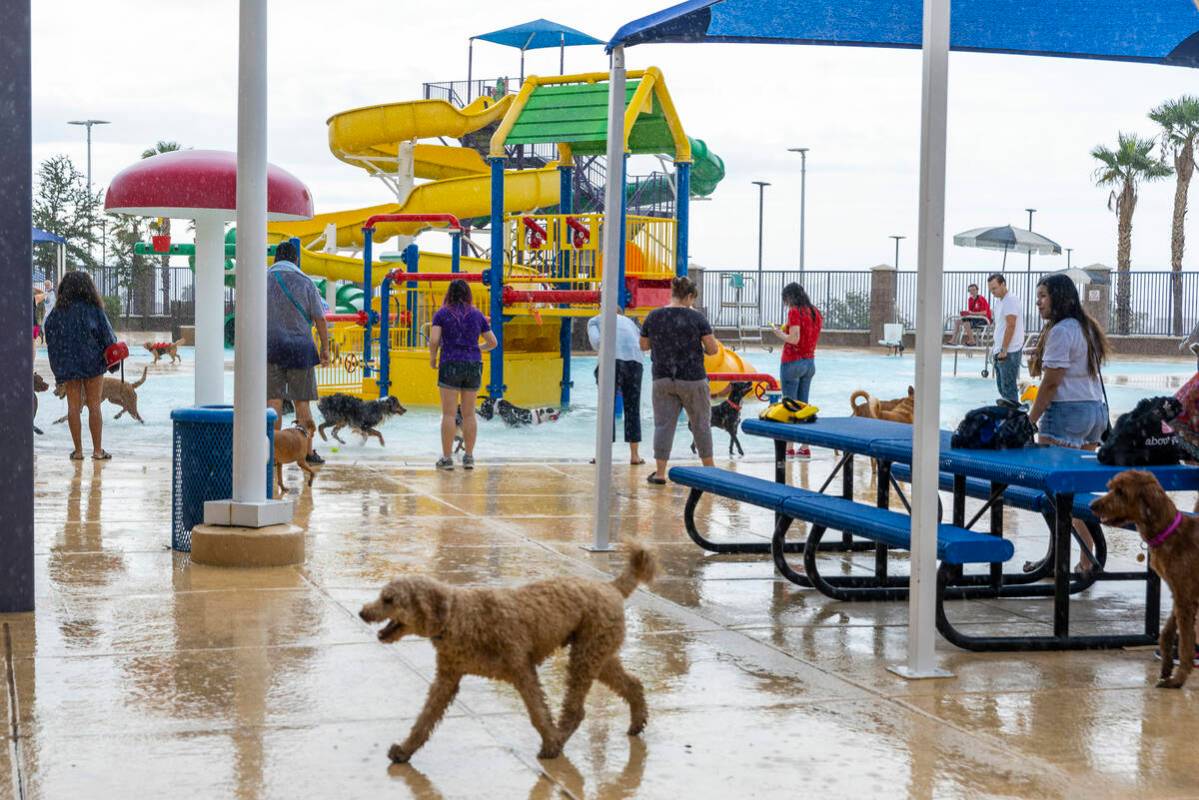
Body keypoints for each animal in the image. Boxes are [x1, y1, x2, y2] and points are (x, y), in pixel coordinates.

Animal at [357, 544, 657, 762]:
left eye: (388, 600)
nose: (363, 612)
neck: (457, 617)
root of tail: (610, 586)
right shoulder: (446, 679)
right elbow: (424, 719)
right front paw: (405, 750)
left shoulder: (522, 670)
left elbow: (537, 712)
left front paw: (550, 742)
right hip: (597, 655)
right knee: (632, 684)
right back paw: (636, 723)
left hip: (586, 656)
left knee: (577, 710)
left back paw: (559, 740)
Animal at [1093, 472, 1199, 690]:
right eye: (1111, 487)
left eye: (1121, 492)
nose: (1093, 505)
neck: (1169, 532)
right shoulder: (1180, 594)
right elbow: (1166, 634)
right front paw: (1167, 667)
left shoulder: (1185, 599)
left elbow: (1185, 644)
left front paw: (1177, 680)